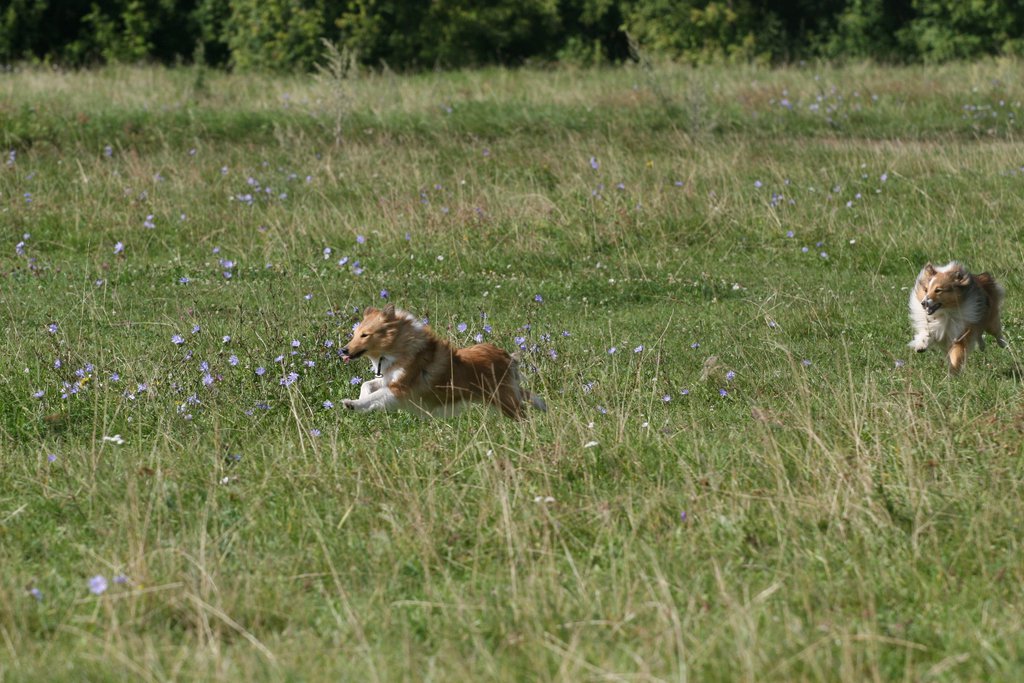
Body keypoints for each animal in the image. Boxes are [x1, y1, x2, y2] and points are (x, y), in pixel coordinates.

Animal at [339, 305, 548, 421]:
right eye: (355, 333)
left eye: (365, 335)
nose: (343, 350)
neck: (400, 347)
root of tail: (507, 356)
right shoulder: (388, 378)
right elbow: (367, 385)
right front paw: (360, 399)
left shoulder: (400, 390)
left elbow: (375, 396)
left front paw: (352, 403)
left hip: (505, 401)